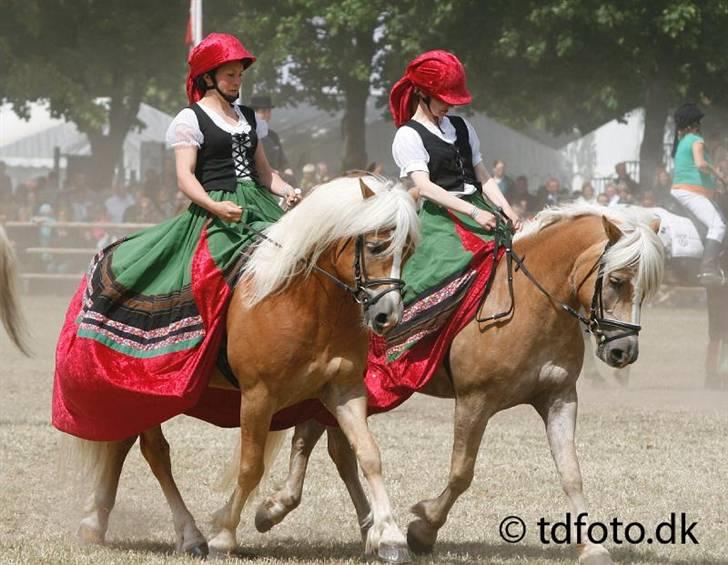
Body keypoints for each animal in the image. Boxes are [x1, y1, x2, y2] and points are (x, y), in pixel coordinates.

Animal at [72, 175, 420, 560]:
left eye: (408, 251)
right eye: (376, 247)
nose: (388, 315)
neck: (306, 300)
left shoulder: (343, 390)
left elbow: (369, 454)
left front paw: (389, 536)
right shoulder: (258, 396)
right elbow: (251, 466)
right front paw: (224, 535)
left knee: (123, 442)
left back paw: (95, 522)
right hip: (146, 389)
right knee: (155, 453)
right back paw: (189, 534)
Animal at [252, 204, 664, 564]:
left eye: (645, 289)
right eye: (616, 281)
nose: (624, 351)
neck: (533, 301)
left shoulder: (559, 399)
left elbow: (571, 473)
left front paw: (591, 547)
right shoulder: (474, 400)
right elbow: (461, 472)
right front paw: (422, 529)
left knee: (335, 448)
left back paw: (360, 527)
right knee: (312, 439)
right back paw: (278, 510)